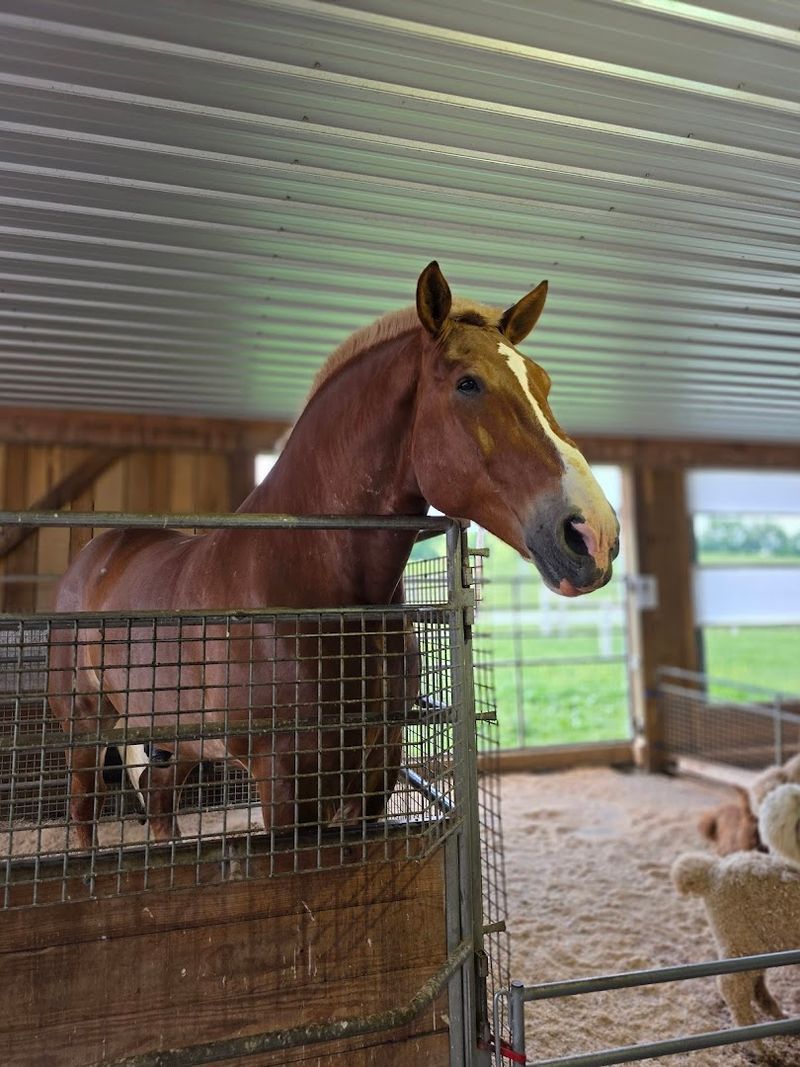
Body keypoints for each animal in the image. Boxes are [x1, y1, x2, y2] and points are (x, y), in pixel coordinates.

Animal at [48, 261, 619, 850]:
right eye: (468, 383)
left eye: (543, 383)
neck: (304, 577)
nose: (593, 533)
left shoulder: (374, 772)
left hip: (175, 741)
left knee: (160, 804)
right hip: (84, 725)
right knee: (83, 813)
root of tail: (96, 554)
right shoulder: (284, 783)